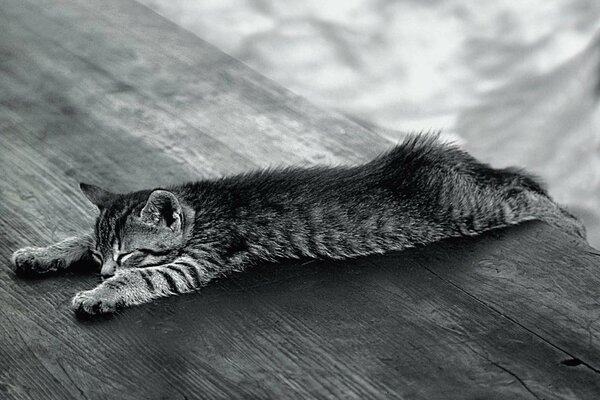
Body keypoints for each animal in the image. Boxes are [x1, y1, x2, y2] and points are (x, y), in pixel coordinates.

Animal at [9, 135, 584, 316]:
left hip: (473, 210)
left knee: (528, 196)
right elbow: (77, 234)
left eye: (128, 254)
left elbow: (153, 276)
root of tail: (439, 156)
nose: (106, 271)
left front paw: (100, 294)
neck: (199, 207)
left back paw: (574, 226)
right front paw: (44, 252)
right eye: (103, 254)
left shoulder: (202, 257)